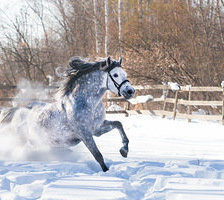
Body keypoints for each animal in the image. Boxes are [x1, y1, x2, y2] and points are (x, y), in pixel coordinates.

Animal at [0, 56, 135, 172]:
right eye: (115, 74)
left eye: (125, 74)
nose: (130, 91)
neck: (87, 103)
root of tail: (15, 112)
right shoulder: (84, 133)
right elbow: (98, 155)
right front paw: (107, 172)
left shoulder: (97, 129)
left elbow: (119, 124)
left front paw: (124, 151)